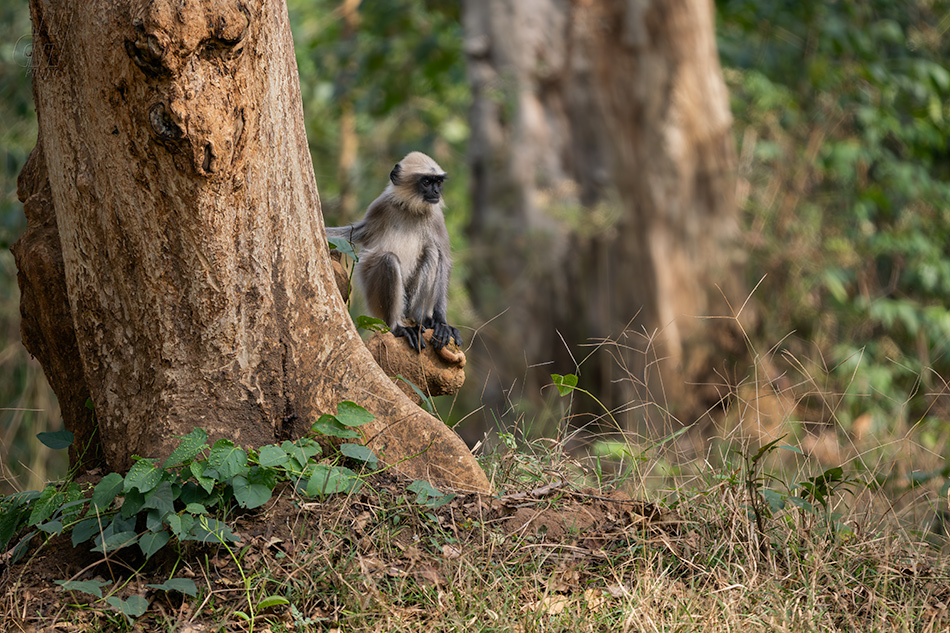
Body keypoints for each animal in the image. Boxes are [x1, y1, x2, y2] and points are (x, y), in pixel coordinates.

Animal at [326, 151, 462, 354]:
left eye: (438, 182)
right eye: (426, 182)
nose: (436, 193)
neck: (410, 208)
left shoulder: (436, 216)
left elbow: (444, 259)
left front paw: (441, 322)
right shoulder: (380, 205)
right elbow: (352, 233)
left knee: (432, 252)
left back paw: (423, 319)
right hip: (374, 302)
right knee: (389, 260)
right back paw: (397, 327)